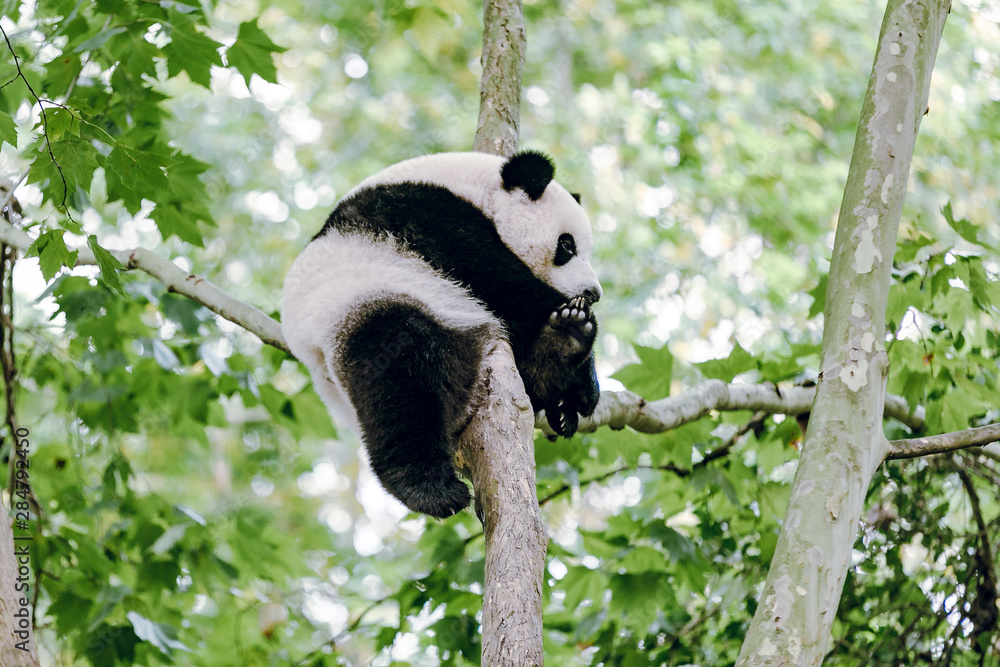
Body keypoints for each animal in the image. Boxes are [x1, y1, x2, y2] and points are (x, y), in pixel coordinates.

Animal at [281, 150, 601, 518]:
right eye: (567, 245)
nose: (593, 293)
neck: (472, 186)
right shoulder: (423, 212)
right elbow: (496, 277)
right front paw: (584, 372)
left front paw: (571, 399)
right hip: (369, 301)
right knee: (400, 380)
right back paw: (430, 489)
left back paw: (557, 356)